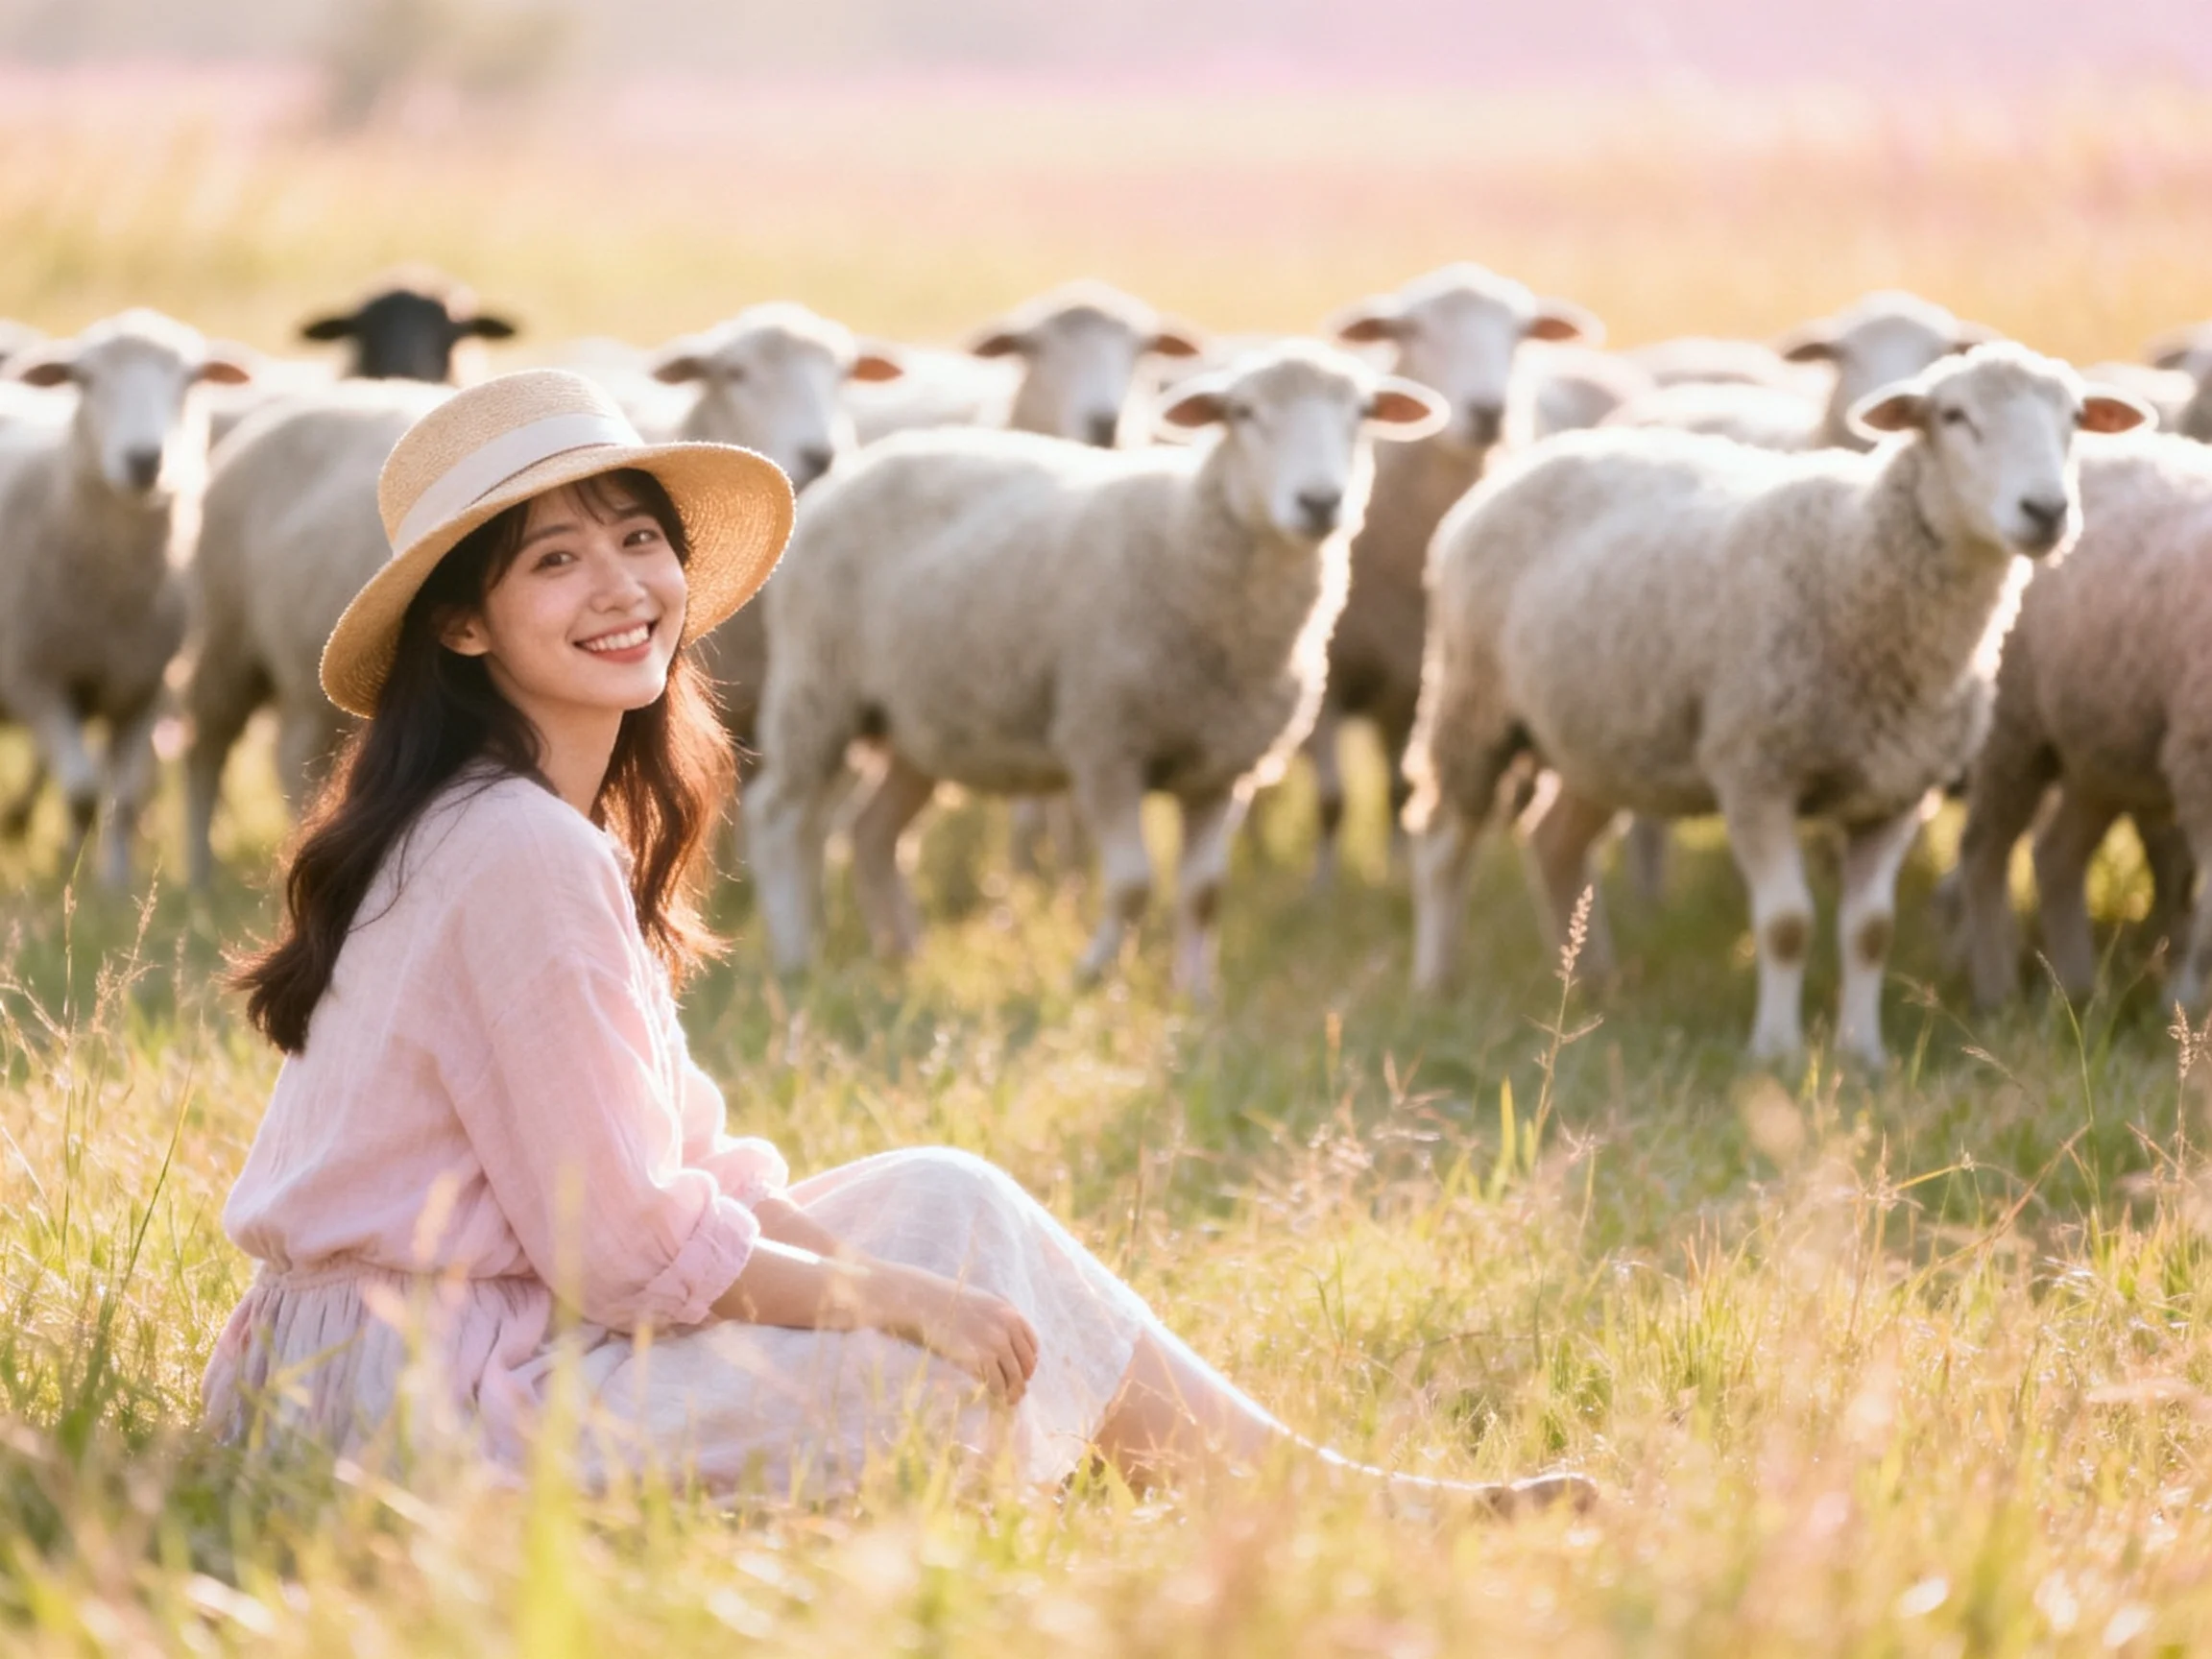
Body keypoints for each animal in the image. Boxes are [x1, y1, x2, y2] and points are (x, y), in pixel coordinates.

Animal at [0, 309, 251, 886]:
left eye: (190, 380)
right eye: (84, 379)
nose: (143, 461)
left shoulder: (147, 686)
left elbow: (127, 796)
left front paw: (113, 882)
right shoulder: (33, 678)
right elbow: (82, 790)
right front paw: (72, 875)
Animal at [747, 341, 1446, 995]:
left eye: (1363, 413)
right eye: (1243, 413)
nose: (1320, 501)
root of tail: (859, 466)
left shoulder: (1224, 768)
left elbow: (1205, 892)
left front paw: (1197, 992)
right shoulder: (1105, 742)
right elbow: (1134, 883)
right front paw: (1090, 975)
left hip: (919, 724)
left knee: (871, 833)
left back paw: (903, 955)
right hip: (819, 688)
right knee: (778, 817)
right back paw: (795, 958)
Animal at [1306, 263, 1602, 887]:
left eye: (1521, 333)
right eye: (1412, 330)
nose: (1488, 411)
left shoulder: (1408, 681)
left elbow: (1399, 790)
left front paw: (1394, 869)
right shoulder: (1327, 683)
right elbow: (1331, 800)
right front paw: (1321, 888)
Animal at [1403, 343, 2148, 1065]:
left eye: (2076, 418)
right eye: (1955, 416)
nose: (2046, 511)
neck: (1857, 559)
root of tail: (1531, 460)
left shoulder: (1897, 792)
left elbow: (1871, 932)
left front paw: (1862, 1052)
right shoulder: (1755, 772)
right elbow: (1787, 924)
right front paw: (1777, 1050)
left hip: (1603, 737)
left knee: (1554, 842)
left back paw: (1590, 981)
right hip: (1473, 707)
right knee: (1443, 846)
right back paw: (1438, 980)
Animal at [1952, 431, 2212, 1009]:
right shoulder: (2198, 756)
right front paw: (2185, 999)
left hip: (2101, 749)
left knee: (2055, 856)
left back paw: (2077, 991)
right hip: (2012, 729)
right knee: (1983, 852)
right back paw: (1998, 996)